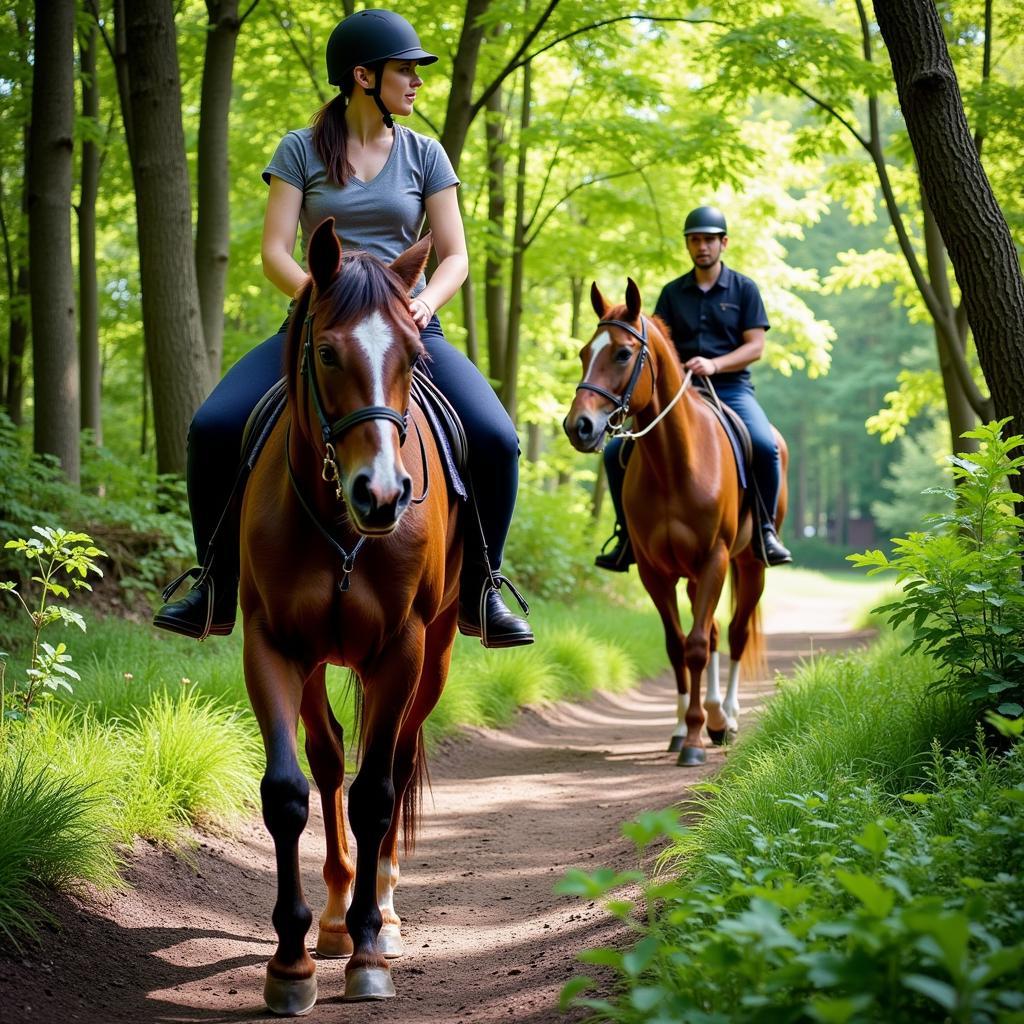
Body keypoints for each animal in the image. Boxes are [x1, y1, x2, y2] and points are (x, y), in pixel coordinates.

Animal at [237, 220, 462, 1011]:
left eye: (415, 355)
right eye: (328, 353)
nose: (384, 495)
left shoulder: (402, 648)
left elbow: (375, 795)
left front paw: (368, 952)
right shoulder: (272, 644)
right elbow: (289, 792)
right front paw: (292, 960)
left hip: (437, 652)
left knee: (394, 758)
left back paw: (381, 912)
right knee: (331, 756)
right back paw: (334, 918)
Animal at [565, 280, 786, 770]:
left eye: (623, 354)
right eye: (585, 352)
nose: (578, 427)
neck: (674, 464)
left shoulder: (714, 560)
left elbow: (697, 645)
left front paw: (695, 740)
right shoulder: (655, 571)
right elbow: (676, 645)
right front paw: (682, 728)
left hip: (748, 566)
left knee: (735, 634)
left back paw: (729, 717)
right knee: (716, 633)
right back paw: (714, 716)